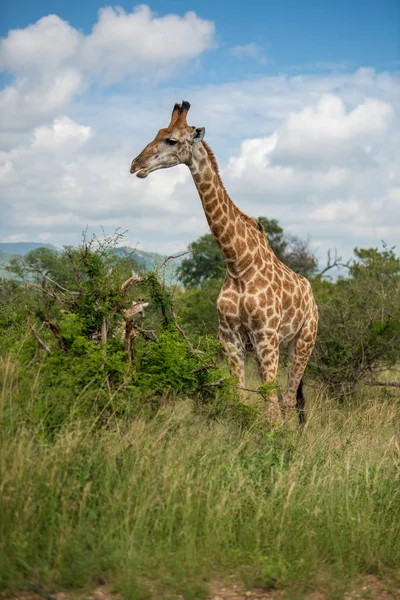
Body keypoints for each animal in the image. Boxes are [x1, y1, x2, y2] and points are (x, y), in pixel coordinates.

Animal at [130, 102, 318, 422]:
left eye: (172, 140)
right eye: (157, 133)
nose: (135, 164)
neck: (238, 263)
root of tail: (312, 296)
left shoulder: (266, 337)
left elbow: (269, 407)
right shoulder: (230, 339)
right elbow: (239, 400)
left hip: (303, 341)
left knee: (288, 401)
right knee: (284, 399)